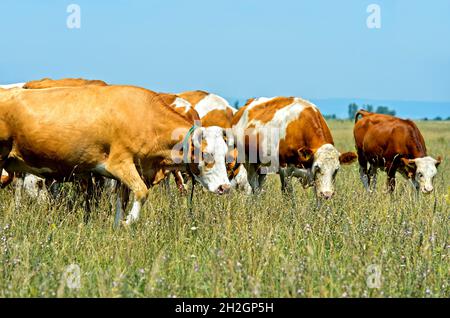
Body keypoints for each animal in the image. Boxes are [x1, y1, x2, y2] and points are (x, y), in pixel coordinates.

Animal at [0, 84, 232, 224]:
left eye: (225, 155)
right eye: (207, 155)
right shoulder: (120, 164)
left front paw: (118, 225)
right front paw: (129, 222)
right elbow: (141, 193)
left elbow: (122, 201)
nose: (225, 187)